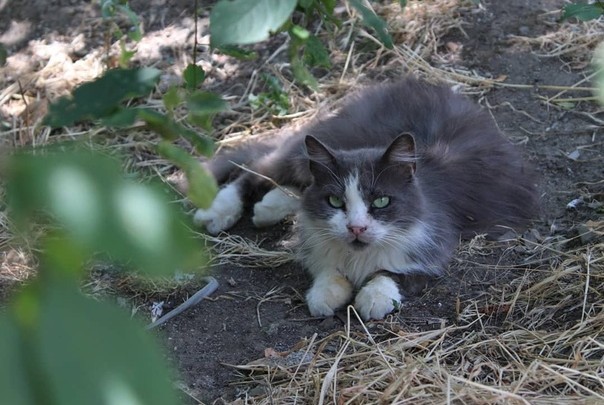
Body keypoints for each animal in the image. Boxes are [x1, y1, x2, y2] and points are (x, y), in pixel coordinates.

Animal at [190, 78, 536, 318]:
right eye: (336, 202)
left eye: (381, 202)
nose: (356, 228)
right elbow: (327, 265)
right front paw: (324, 295)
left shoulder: (434, 247)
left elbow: (392, 272)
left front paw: (373, 298)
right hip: (310, 148)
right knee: (253, 170)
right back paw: (218, 212)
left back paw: (267, 209)